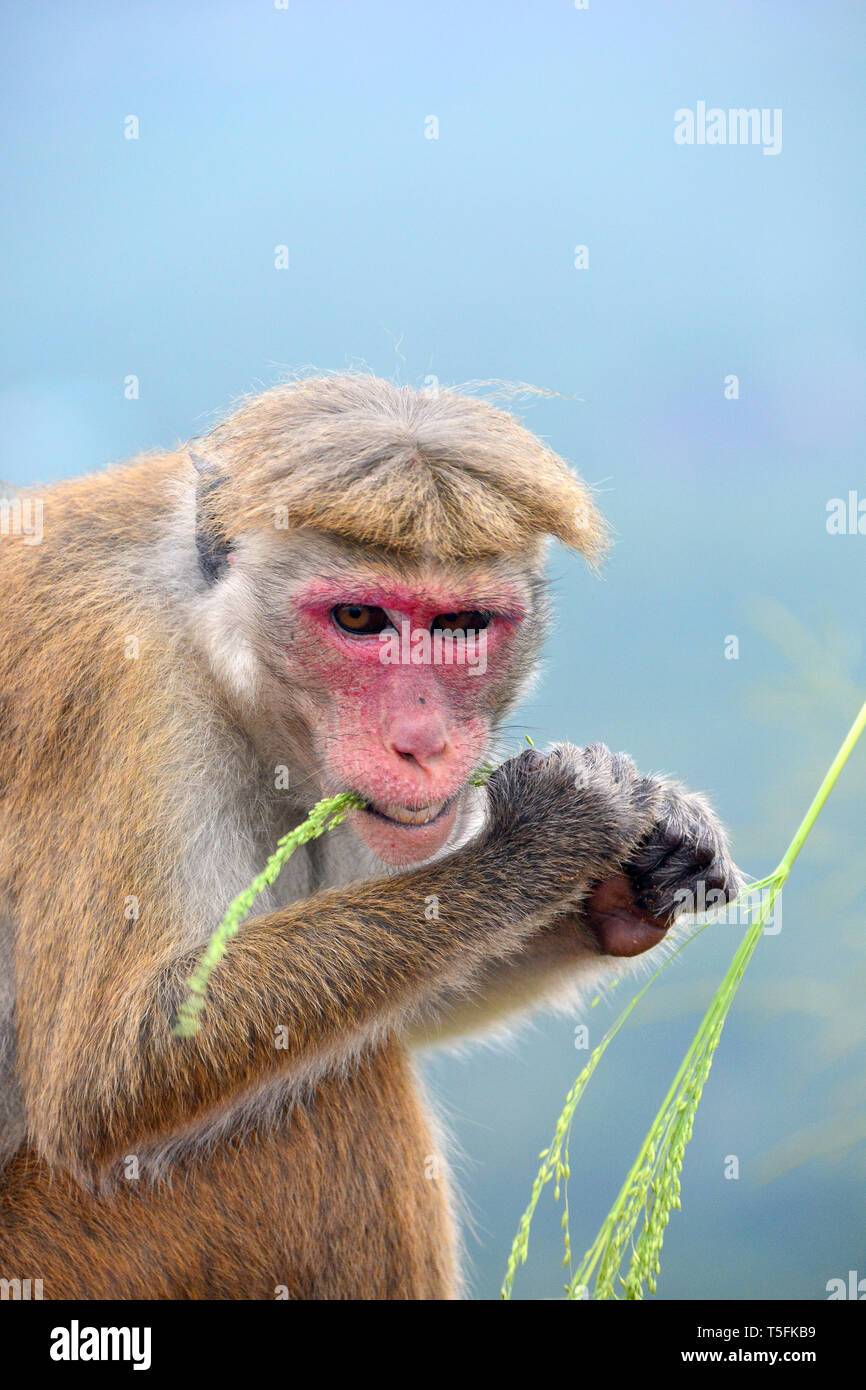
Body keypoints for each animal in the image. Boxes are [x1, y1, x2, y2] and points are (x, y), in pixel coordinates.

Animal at [0, 374, 739, 1299]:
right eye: (358, 618)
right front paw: (542, 841)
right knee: (340, 1096)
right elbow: (112, 1069)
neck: (214, 644)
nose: (421, 742)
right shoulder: (123, 691)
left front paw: (638, 869)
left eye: (462, 624)